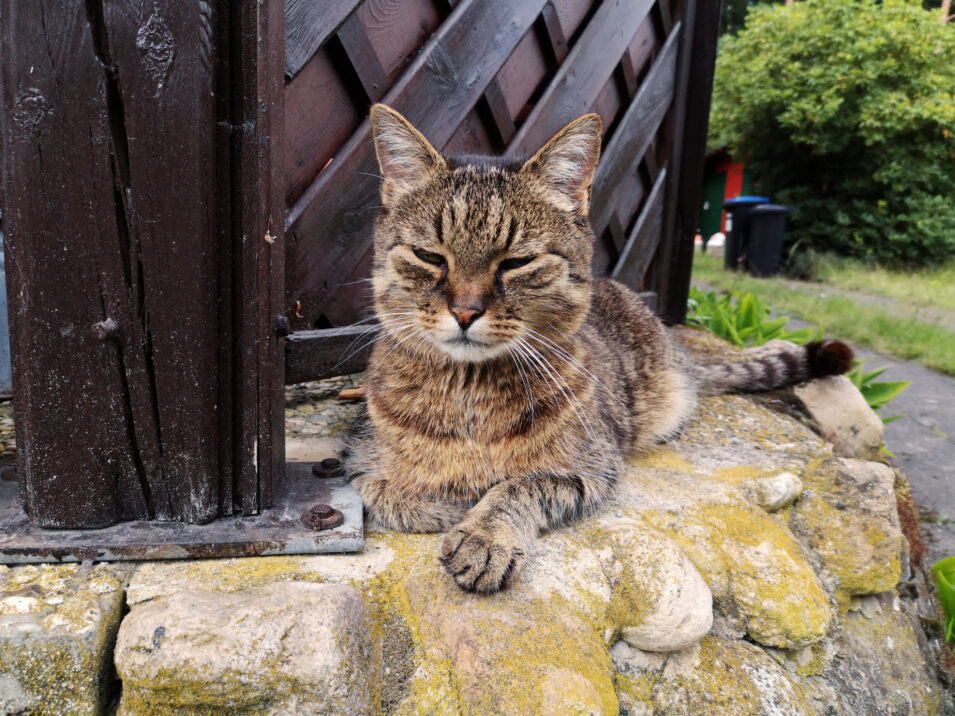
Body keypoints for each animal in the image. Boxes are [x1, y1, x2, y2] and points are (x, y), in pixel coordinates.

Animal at [348, 102, 856, 592]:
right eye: (429, 256)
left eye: (518, 262)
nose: (466, 311)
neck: (469, 396)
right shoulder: (356, 461)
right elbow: (387, 494)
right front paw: (449, 506)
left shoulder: (593, 468)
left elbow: (518, 487)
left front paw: (485, 533)